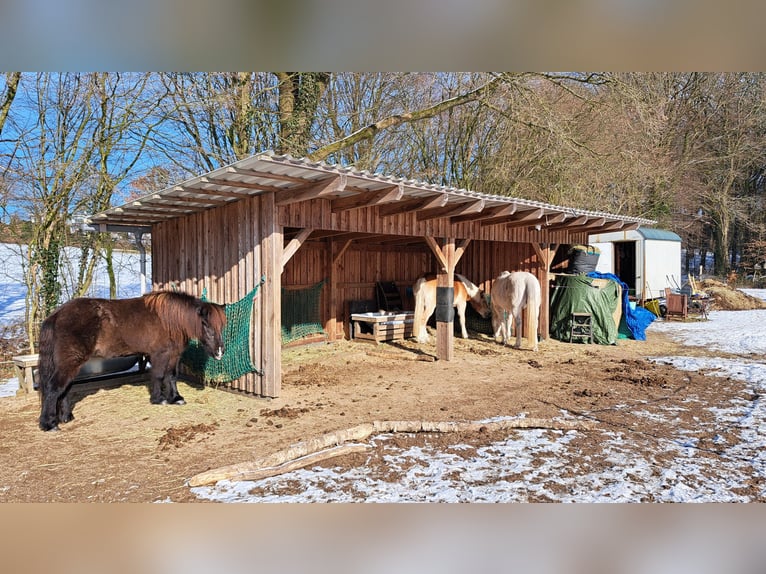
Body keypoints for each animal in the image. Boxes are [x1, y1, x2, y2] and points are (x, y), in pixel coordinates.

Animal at [37, 291, 227, 431]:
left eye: (221, 326)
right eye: (205, 324)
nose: (219, 352)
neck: (169, 320)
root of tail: (56, 315)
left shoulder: (173, 355)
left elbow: (171, 377)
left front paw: (176, 398)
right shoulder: (159, 354)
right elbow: (158, 376)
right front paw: (159, 399)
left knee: (65, 388)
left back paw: (66, 417)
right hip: (70, 361)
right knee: (54, 387)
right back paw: (49, 424)